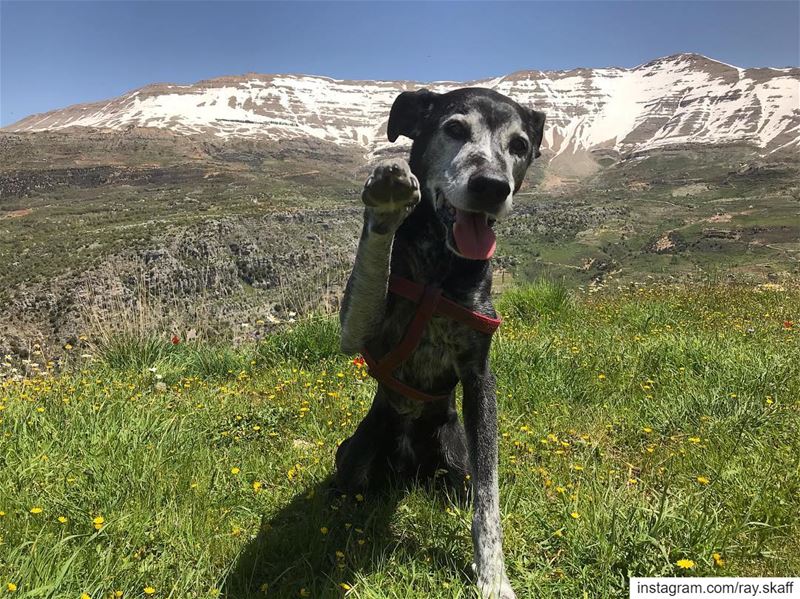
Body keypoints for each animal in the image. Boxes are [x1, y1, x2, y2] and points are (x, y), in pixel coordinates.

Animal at [334, 88, 548, 599]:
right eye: (454, 129)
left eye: (520, 146)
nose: (491, 187)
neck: (438, 273)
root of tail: (409, 469)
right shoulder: (357, 330)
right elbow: (370, 271)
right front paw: (386, 207)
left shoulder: (479, 379)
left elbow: (488, 497)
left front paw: (493, 577)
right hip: (354, 455)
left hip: (456, 458)